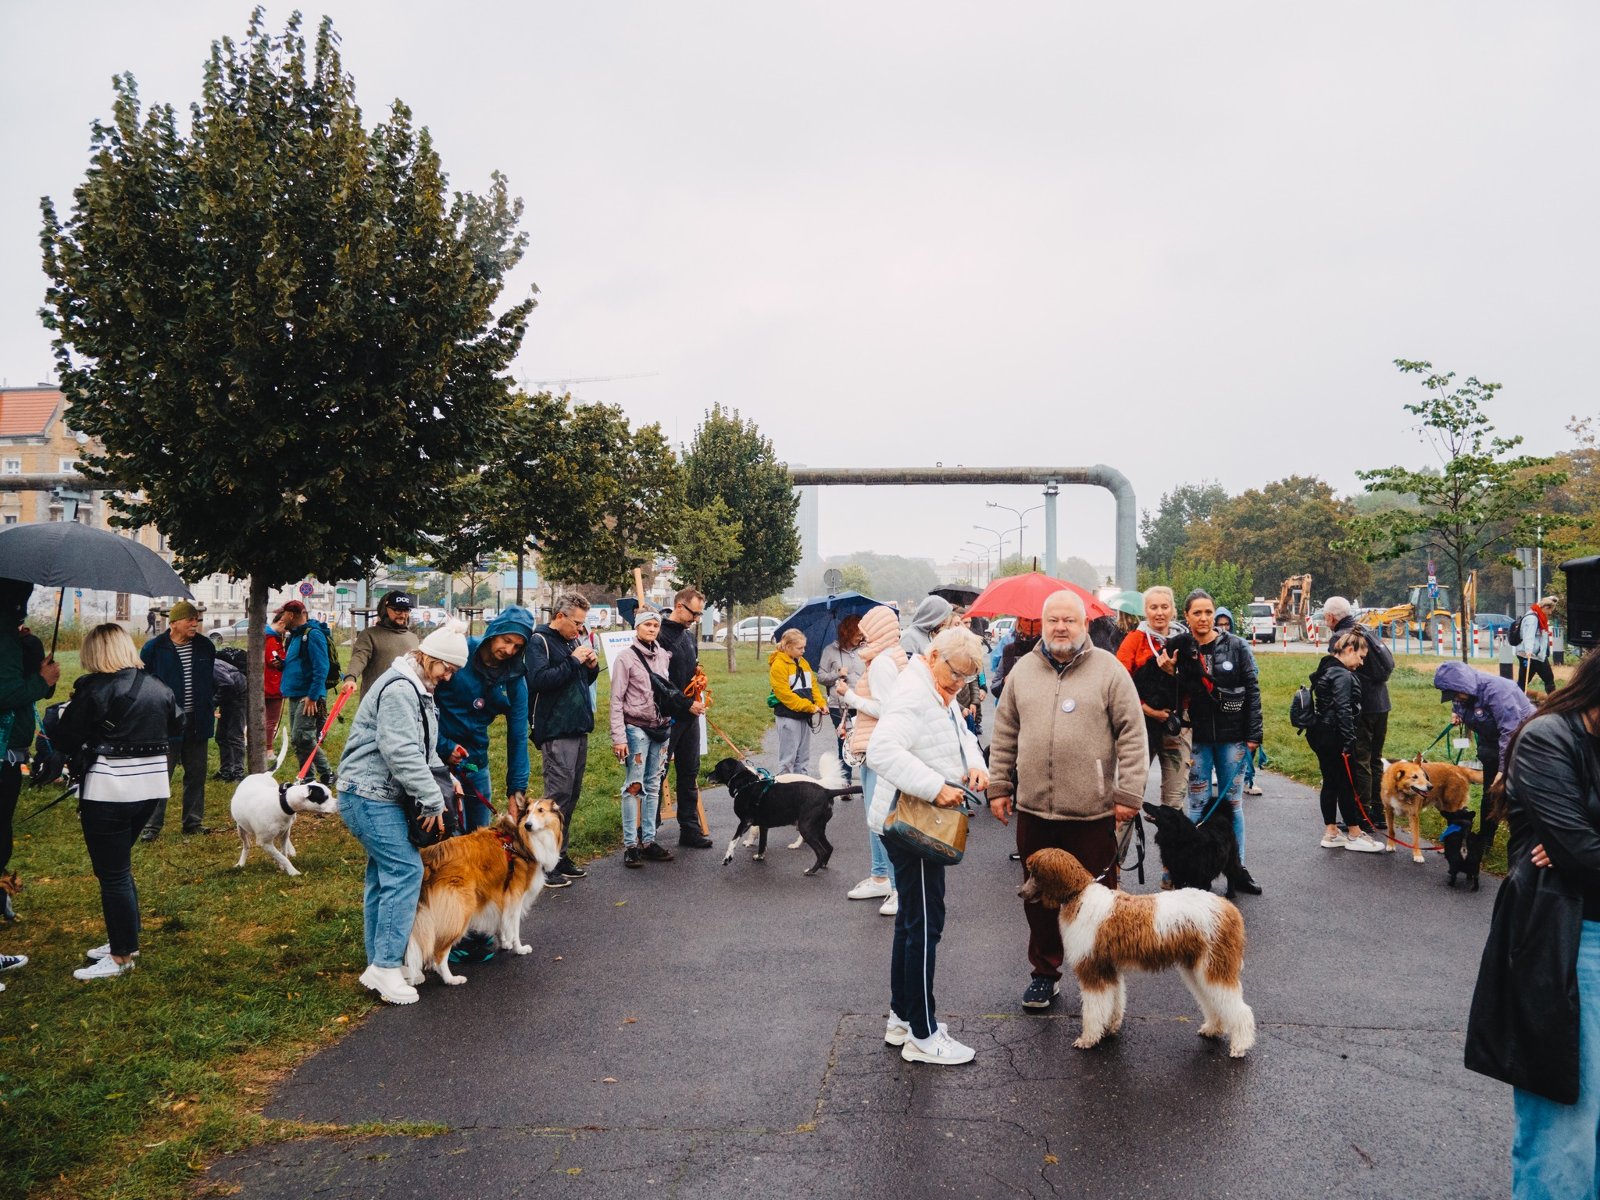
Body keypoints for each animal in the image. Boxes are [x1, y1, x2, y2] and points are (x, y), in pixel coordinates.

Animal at [228, 729, 337, 876]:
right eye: (324, 797)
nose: (338, 804)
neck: (282, 803)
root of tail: (263, 774)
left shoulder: (284, 833)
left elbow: (283, 853)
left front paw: (284, 866)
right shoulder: (265, 843)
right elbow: (281, 856)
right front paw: (292, 871)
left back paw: (291, 850)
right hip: (241, 829)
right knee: (246, 845)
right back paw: (241, 863)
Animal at [403, 803, 566, 992]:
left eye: (541, 810)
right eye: (528, 812)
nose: (528, 825)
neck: (519, 840)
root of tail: (432, 857)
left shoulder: (501, 893)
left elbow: (501, 922)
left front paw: (504, 943)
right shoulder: (516, 897)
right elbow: (514, 927)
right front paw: (519, 948)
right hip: (460, 910)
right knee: (439, 953)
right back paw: (450, 978)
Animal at [716, 755, 864, 876]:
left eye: (717, 767)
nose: (709, 774)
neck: (748, 783)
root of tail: (826, 790)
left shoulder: (746, 822)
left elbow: (734, 841)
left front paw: (729, 857)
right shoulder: (763, 825)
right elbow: (762, 844)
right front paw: (759, 856)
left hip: (806, 827)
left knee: (820, 851)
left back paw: (810, 869)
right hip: (817, 828)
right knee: (829, 848)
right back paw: (821, 865)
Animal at [1017, 851, 1254, 1056]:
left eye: (1034, 873)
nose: (1020, 892)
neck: (1079, 896)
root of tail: (1229, 909)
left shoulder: (1092, 969)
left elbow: (1093, 1009)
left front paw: (1088, 1039)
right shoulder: (1109, 968)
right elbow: (1114, 1001)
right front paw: (1110, 1027)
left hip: (1215, 966)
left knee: (1239, 1009)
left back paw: (1240, 1046)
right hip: (1197, 967)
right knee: (1212, 1001)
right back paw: (1213, 1028)